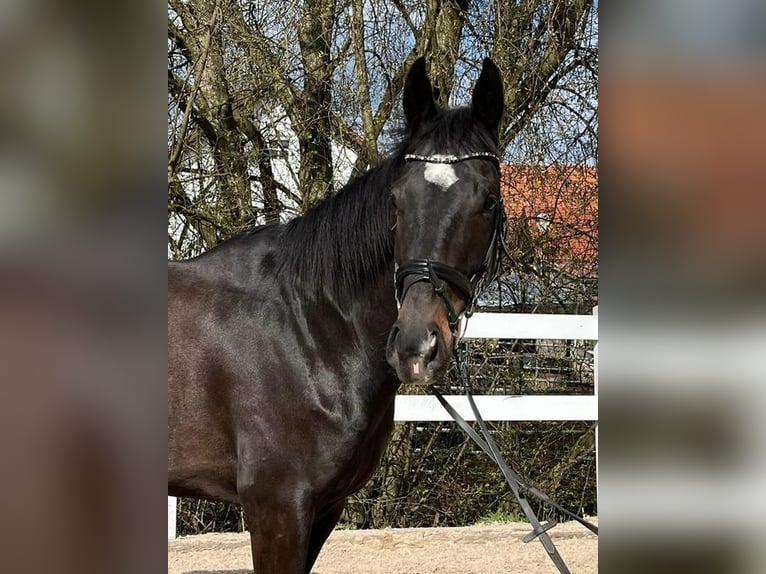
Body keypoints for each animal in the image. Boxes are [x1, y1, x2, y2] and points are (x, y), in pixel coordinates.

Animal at [169, 57, 508, 572]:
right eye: (397, 201)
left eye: (488, 201)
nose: (415, 347)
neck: (307, 328)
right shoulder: (277, 508)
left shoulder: (326, 507)